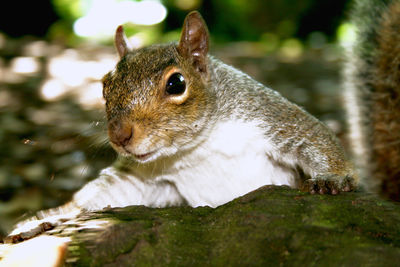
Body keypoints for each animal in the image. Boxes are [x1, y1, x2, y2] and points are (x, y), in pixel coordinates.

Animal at [3, 11, 354, 243]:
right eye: (104, 87)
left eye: (176, 84)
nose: (119, 135)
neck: (197, 148)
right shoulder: (144, 178)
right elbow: (100, 195)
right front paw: (44, 219)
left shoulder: (269, 116)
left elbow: (312, 136)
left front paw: (331, 179)